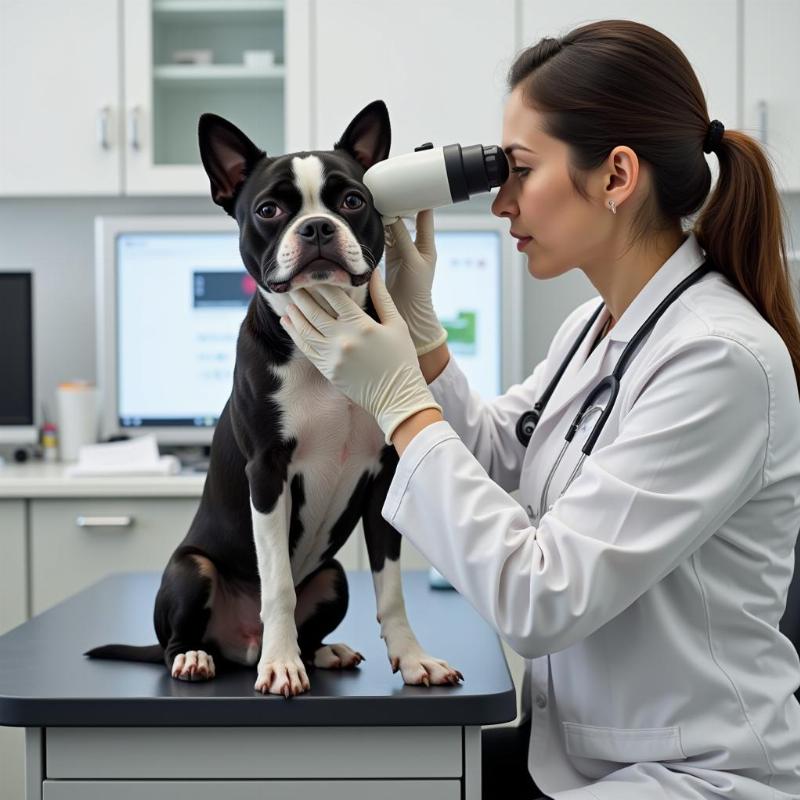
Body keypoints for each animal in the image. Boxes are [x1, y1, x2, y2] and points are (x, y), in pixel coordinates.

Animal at [85, 103, 462, 696]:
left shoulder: (385, 478)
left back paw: (324, 651)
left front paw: (413, 658)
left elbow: (392, 587)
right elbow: (278, 584)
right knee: (179, 638)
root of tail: (240, 647)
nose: (316, 227)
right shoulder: (267, 474)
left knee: (317, 615)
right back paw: (200, 657)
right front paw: (281, 665)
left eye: (352, 201)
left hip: (333, 576)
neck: (324, 343)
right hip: (192, 569)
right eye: (269, 209)